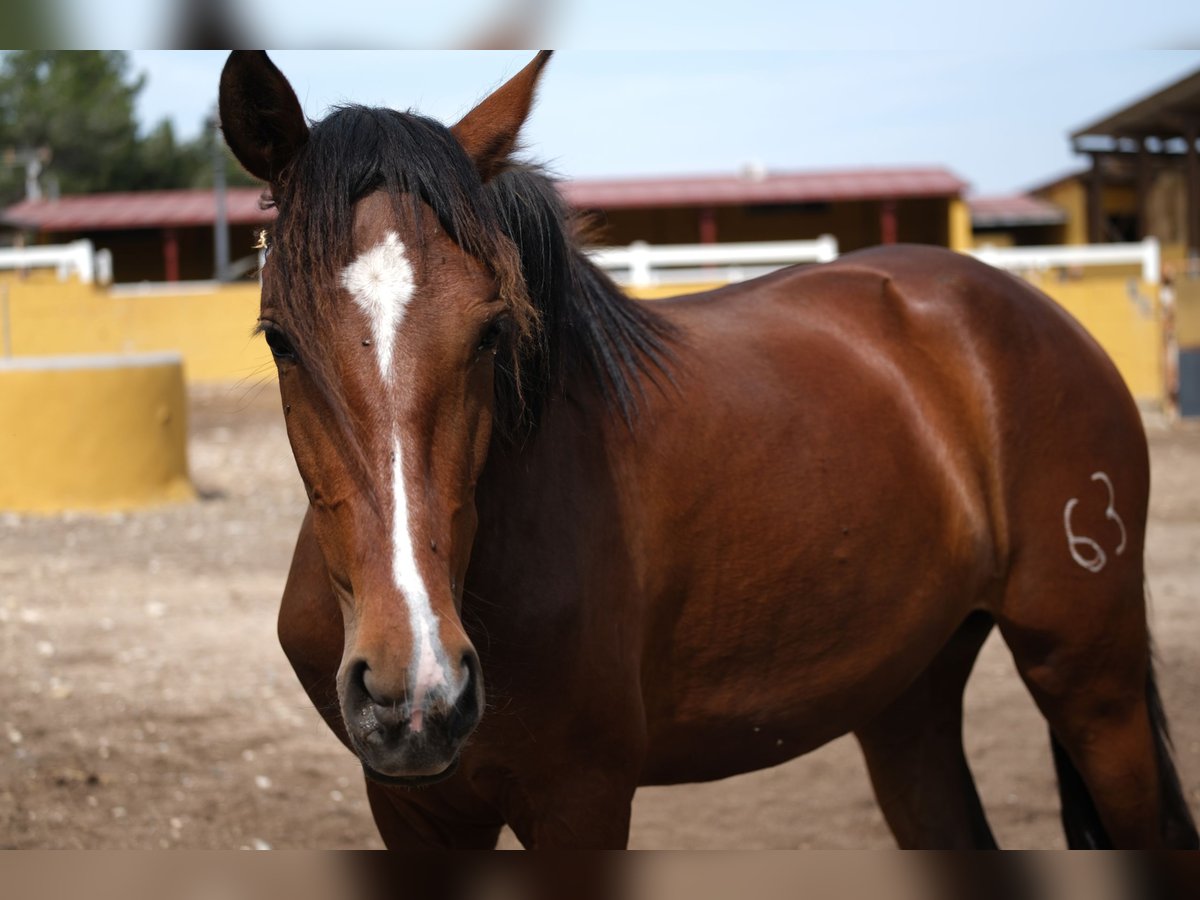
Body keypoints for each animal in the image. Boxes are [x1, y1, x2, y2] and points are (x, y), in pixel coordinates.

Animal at [220, 51, 1195, 854]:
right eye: (280, 339)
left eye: (492, 332)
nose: (414, 691)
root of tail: (1037, 312)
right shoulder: (412, 810)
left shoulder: (580, 803)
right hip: (908, 698)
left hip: (1091, 678)